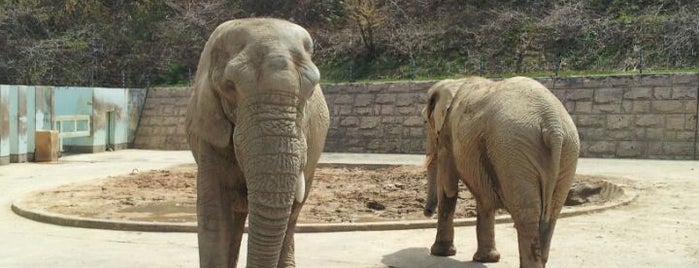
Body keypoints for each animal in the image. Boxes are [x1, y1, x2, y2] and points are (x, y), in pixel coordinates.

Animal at [422, 76, 580, 268]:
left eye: (425, 122)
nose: (427, 213)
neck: (456, 81)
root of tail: (552, 123)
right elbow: (483, 195)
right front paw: (486, 259)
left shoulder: (447, 138)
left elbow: (448, 188)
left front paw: (440, 253)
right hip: (567, 151)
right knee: (552, 213)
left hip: (513, 150)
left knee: (527, 214)